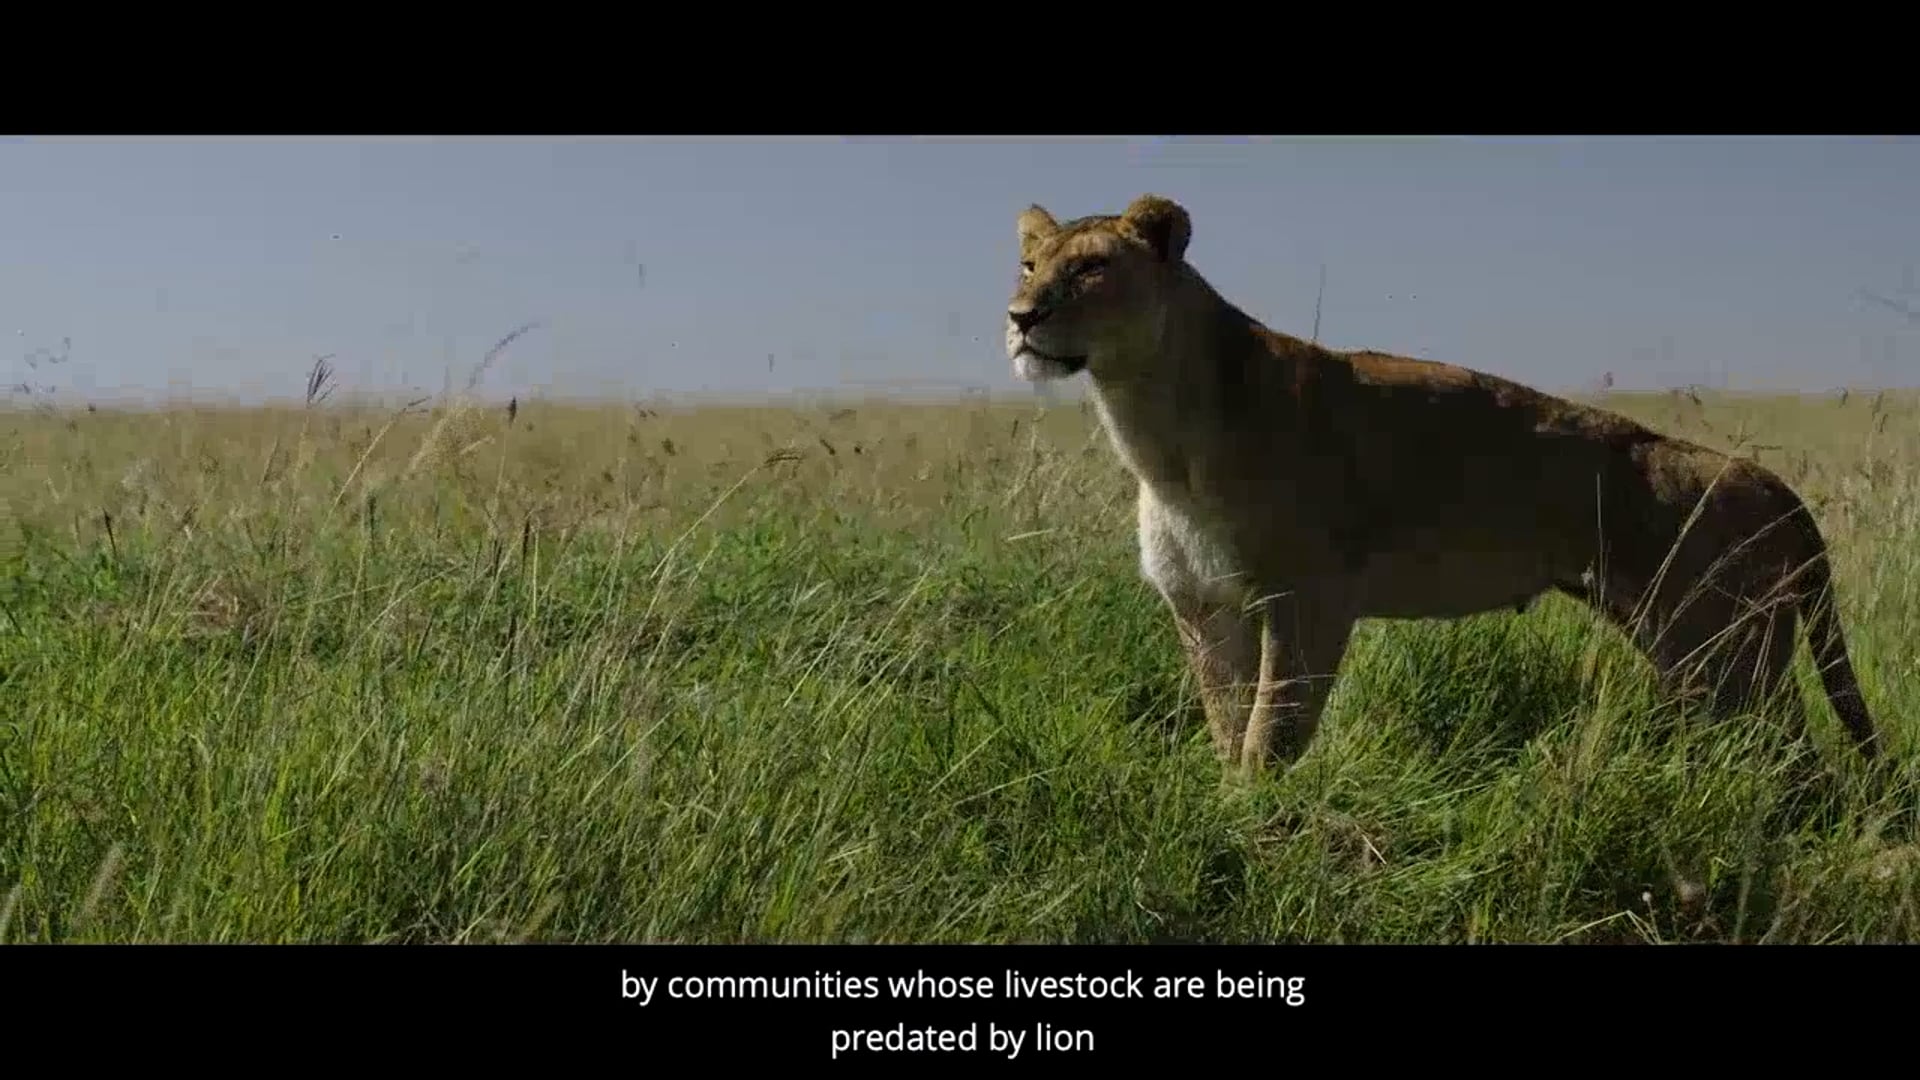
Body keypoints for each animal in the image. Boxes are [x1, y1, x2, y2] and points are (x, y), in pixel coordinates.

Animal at [1003, 193, 1881, 781]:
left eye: (1091, 268)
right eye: (1029, 265)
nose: (1018, 316)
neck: (1154, 429)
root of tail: (1767, 479)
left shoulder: (1308, 597)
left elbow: (1270, 731)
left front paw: (1256, 826)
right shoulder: (1202, 607)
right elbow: (1227, 725)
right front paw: (1227, 807)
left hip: (1723, 648)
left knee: (1794, 756)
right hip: (1693, 647)